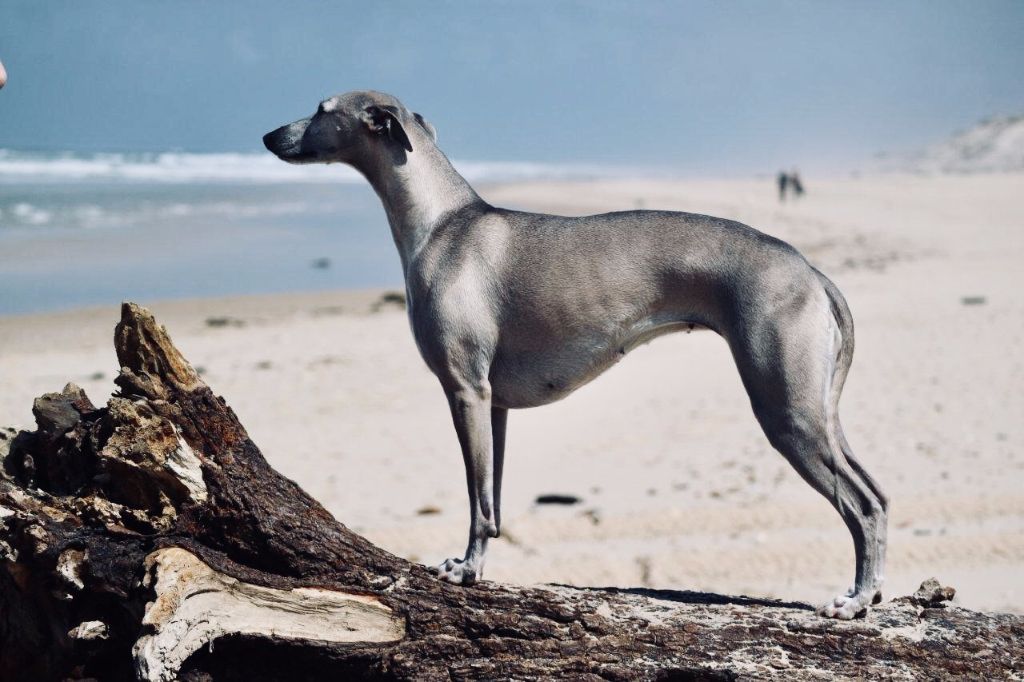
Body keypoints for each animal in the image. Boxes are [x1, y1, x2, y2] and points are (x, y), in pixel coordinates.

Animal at [264, 89, 888, 614]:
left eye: (321, 108)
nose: (269, 136)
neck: (442, 223)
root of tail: (811, 271)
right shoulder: (494, 404)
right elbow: (492, 500)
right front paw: (478, 566)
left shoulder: (465, 390)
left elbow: (475, 501)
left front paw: (464, 571)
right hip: (817, 410)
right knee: (878, 495)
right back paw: (873, 591)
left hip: (785, 410)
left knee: (861, 504)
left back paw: (855, 600)